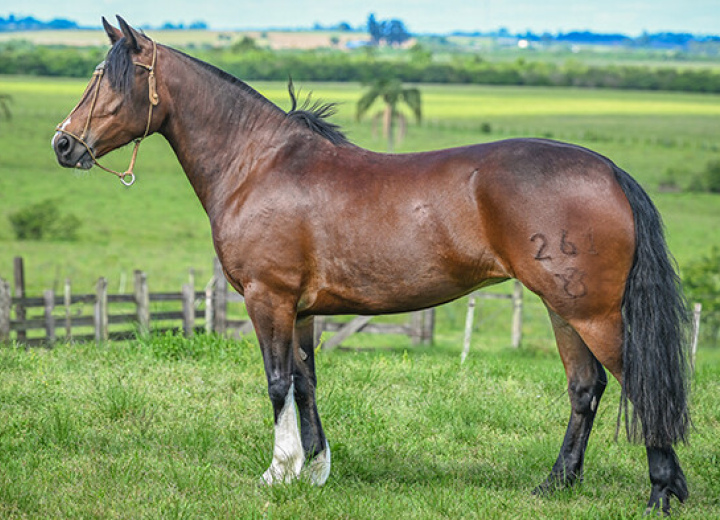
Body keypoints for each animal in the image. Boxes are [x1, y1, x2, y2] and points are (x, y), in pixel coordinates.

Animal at [53, 17, 688, 516]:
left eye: (109, 78)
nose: (63, 145)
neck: (258, 165)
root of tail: (607, 170)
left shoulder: (268, 298)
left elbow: (277, 382)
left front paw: (277, 472)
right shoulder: (302, 309)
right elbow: (306, 381)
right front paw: (314, 471)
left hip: (594, 312)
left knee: (637, 382)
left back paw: (661, 491)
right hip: (563, 308)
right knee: (585, 388)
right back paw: (556, 485)